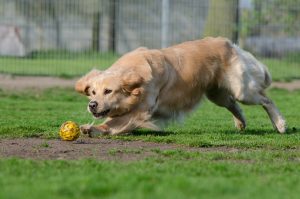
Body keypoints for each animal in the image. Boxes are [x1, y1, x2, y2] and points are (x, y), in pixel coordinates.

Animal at [75, 36, 286, 136]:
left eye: (108, 91)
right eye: (92, 92)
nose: (92, 105)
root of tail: (228, 43)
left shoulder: (141, 111)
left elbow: (113, 123)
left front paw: (93, 129)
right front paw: (90, 128)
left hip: (242, 89)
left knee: (266, 99)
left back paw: (280, 124)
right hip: (217, 94)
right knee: (234, 104)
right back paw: (241, 123)